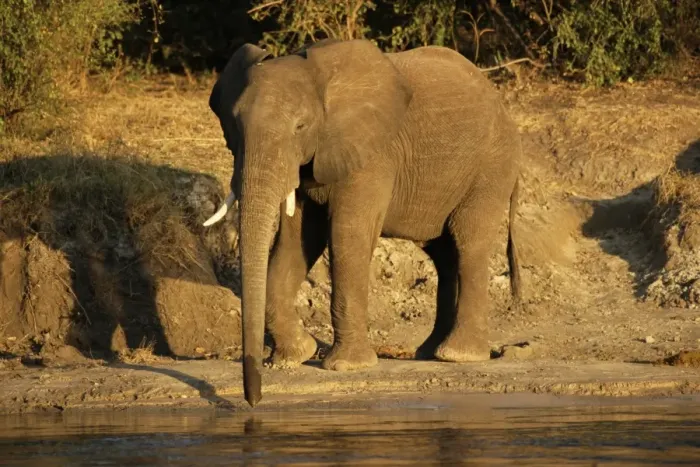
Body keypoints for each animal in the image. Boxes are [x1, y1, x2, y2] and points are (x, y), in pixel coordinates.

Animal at [203, 38, 522, 407]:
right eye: (234, 127)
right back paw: (430, 352)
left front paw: (345, 366)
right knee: (444, 255)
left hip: (491, 167)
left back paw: (458, 355)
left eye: (300, 127)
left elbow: (347, 235)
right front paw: (293, 357)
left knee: (469, 242)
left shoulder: (373, 154)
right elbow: (296, 241)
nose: (253, 401)